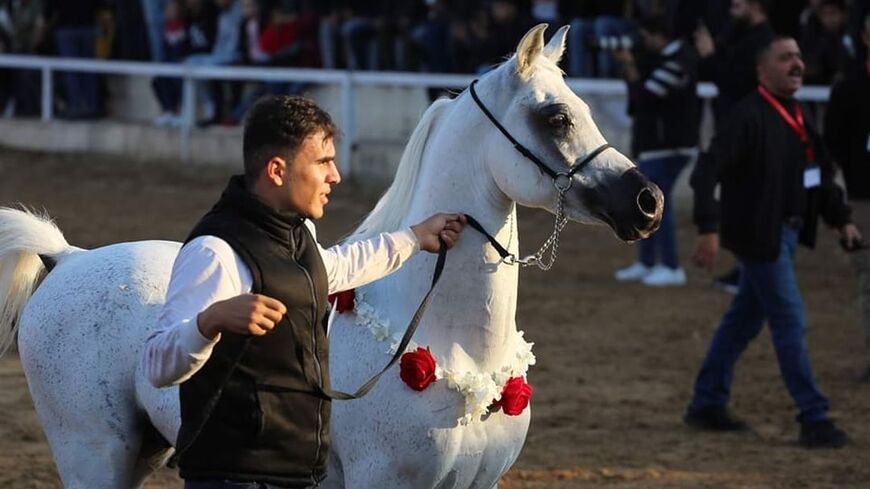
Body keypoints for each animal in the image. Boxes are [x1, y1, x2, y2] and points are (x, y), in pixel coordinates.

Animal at [0, 25, 660, 488]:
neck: (456, 347)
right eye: (556, 116)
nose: (647, 202)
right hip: (93, 453)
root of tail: (69, 258)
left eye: (587, 108)